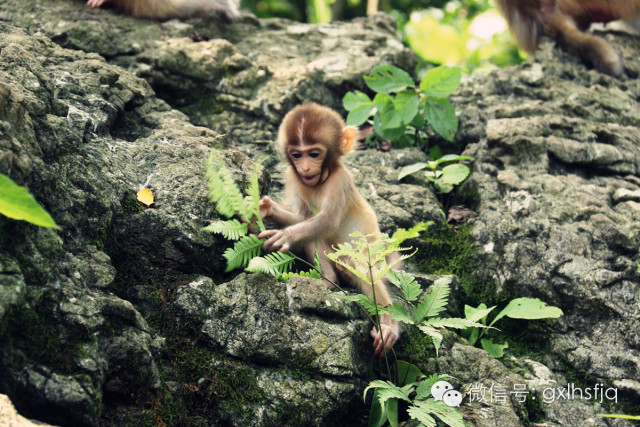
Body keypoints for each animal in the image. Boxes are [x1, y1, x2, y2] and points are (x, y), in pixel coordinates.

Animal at [256, 103, 398, 358]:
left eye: (314, 154)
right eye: (297, 154)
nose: (305, 167)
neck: (321, 180)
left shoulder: (339, 180)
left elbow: (328, 221)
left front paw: (284, 235)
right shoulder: (294, 177)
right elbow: (301, 217)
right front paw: (266, 208)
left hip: (371, 261)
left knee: (362, 266)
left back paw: (388, 324)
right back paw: (328, 282)